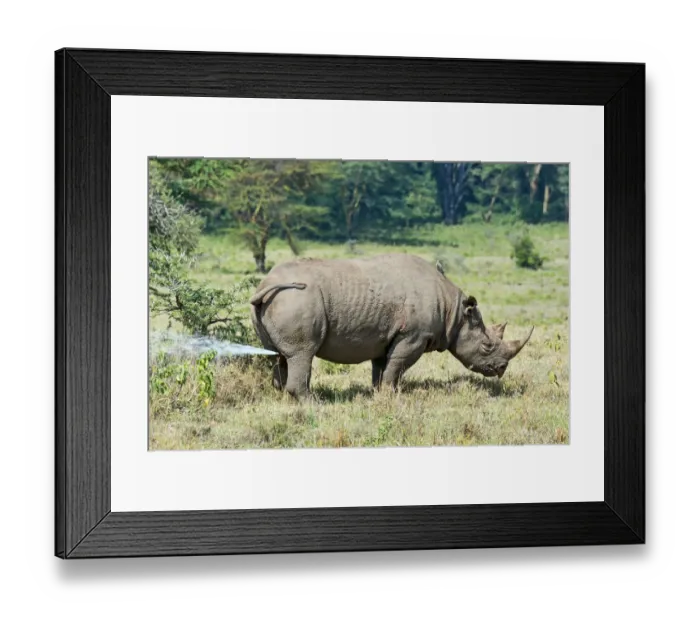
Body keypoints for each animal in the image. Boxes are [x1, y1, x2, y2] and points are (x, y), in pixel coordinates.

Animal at [250, 254, 533, 398]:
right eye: (486, 346)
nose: (501, 369)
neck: (453, 311)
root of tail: (266, 284)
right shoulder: (413, 336)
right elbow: (397, 366)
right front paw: (391, 395)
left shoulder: (384, 336)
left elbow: (381, 366)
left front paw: (377, 394)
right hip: (297, 299)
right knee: (302, 353)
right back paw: (314, 403)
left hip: (279, 302)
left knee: (279, 355)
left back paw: (282, 399)